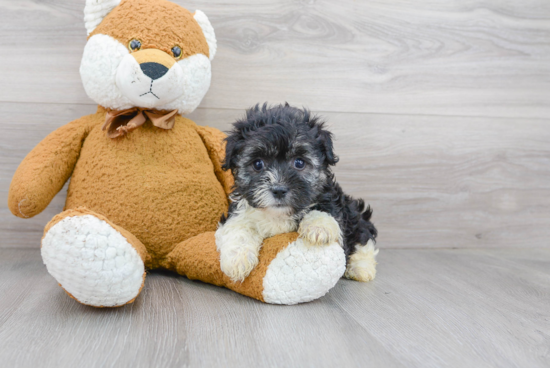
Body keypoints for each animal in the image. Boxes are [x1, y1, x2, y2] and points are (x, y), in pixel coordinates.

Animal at [216, 103, 380, 282]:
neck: (279, 215)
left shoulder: (332, 201)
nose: (279, 190)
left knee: (364, 237)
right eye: (258, 164)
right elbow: (238, 226)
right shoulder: (239, 210)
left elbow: (325, 209)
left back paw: (360, 268)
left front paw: (319, 227)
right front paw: (236, 260)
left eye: (299, 162)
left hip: (355, 214)